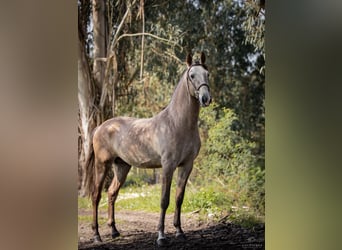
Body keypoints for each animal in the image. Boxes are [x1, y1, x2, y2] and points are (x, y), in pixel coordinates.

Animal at [83, 51, 211, 246]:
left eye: (207, 74)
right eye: (192, 76)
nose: (205, 99)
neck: (178, 123)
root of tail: (100, 127)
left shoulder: (187, 165)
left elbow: (179, 198)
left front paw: (180, 231)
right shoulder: (168, 166)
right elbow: (164, 200)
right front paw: (161, 236)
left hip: (122, 166)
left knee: (112, 193)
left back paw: (114, 231)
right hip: (102, 165)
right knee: (96, 195)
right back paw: (97, 235)